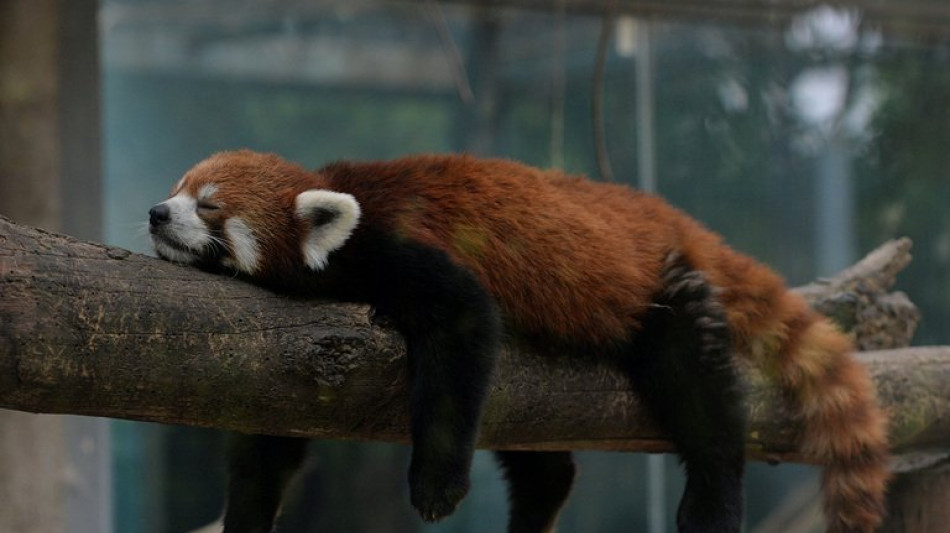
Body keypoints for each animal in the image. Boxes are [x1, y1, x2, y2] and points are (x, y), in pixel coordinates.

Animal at [149, 149, 892, 532]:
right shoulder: (290, 366)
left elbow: (463, 328)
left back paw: (713, 499)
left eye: (209, 205)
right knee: (541, 455)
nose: (157, 212)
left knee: (696, 390)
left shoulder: (400, 249)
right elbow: (268, 445)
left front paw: (436, 486)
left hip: (657, 299)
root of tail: (656, 212)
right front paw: (247, 517)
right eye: (177, 188)